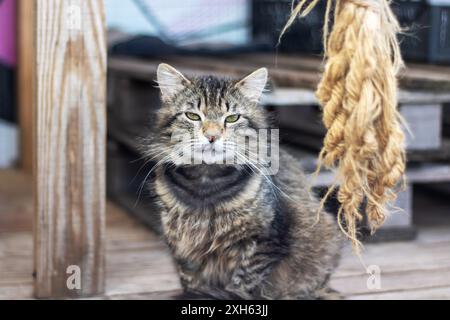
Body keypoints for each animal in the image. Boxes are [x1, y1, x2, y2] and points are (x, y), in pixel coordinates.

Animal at [144, 63, 342, 300]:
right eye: (193, 116)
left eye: (232, 118)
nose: (212, 136)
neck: (206, 183)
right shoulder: (182, 247)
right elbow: (191, 282)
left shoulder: (264, 242)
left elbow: (242, 284)